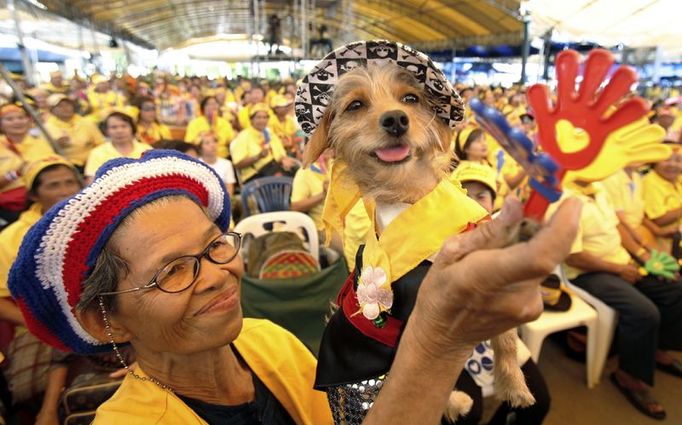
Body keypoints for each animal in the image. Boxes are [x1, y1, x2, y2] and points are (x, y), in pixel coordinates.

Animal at [306, 63, 532, 420]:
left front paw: (515, 387)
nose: (396, 119)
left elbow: (507, 341)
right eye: (355, 105)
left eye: (410, 98)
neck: (411, 195)